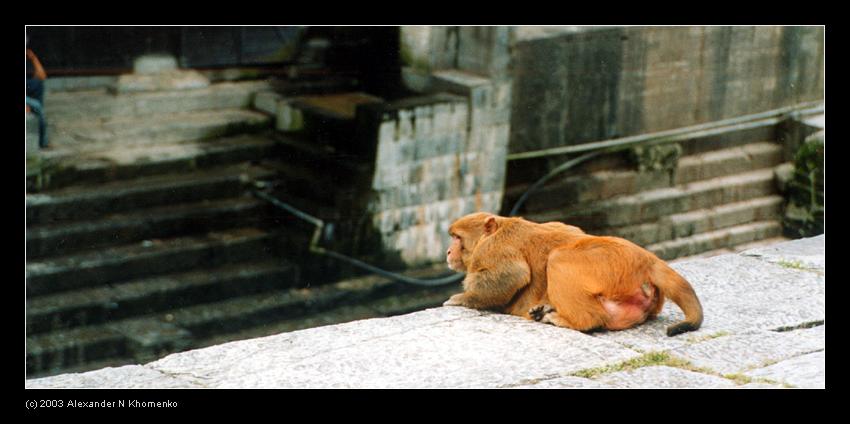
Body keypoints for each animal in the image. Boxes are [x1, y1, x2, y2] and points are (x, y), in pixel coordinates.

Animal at [444, 214, 704, 336]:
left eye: (457, 238)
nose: (448, 251)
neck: (499, 227)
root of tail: (646, 259)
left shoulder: (493, 249)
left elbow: (513, 275)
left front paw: (461, 299)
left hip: (607, 265)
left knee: (557, 260)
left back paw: (576, 321)